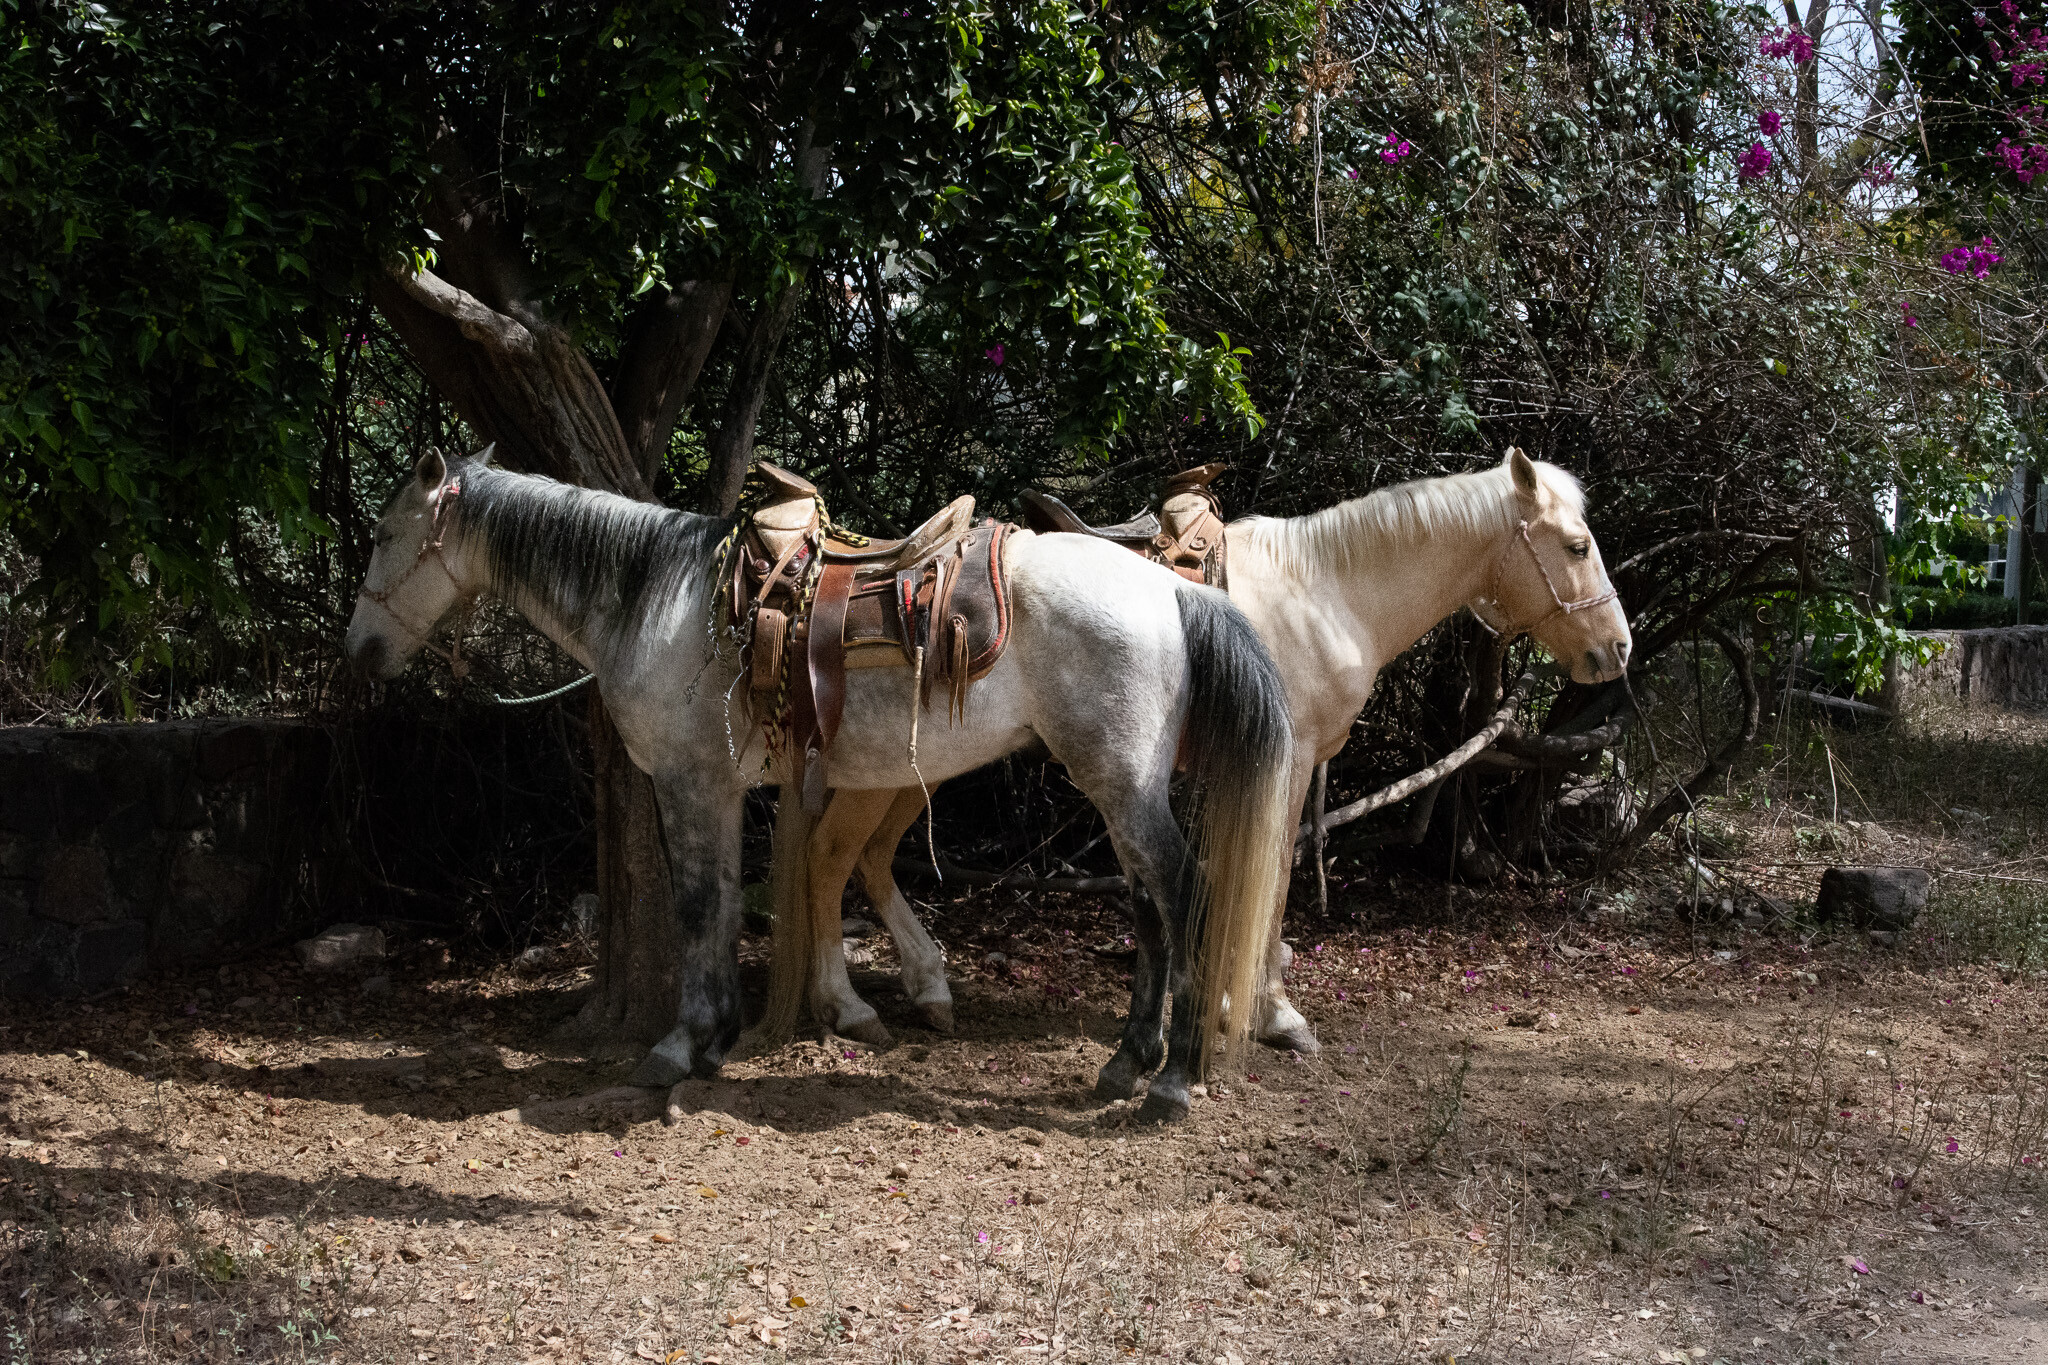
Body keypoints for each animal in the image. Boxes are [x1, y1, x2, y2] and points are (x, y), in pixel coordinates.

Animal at [343, 446, 1296, 1122]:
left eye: (386, 537)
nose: (360, 653)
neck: (658, 601)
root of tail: (1169, 591)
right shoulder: (721, 788)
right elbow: (728, 902)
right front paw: (718, 1038)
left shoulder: (689, 782)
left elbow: (701, 904)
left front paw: (680, 1046)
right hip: (1112, 784)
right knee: (1147, 904)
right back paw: (1126, 1062)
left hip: (1122, 783)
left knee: (1182, 892)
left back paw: (1170, 1082)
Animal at [778, 448, 1632, 1074]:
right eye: (1577, 545)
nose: (1617, 649)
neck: (1323, 594)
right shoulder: (1281, 766)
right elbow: (1272, 881)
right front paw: (1270, 1010)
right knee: (830, 855)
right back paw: (847, 1004)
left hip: (910, 769)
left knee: (859, 857)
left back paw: (910, 989)